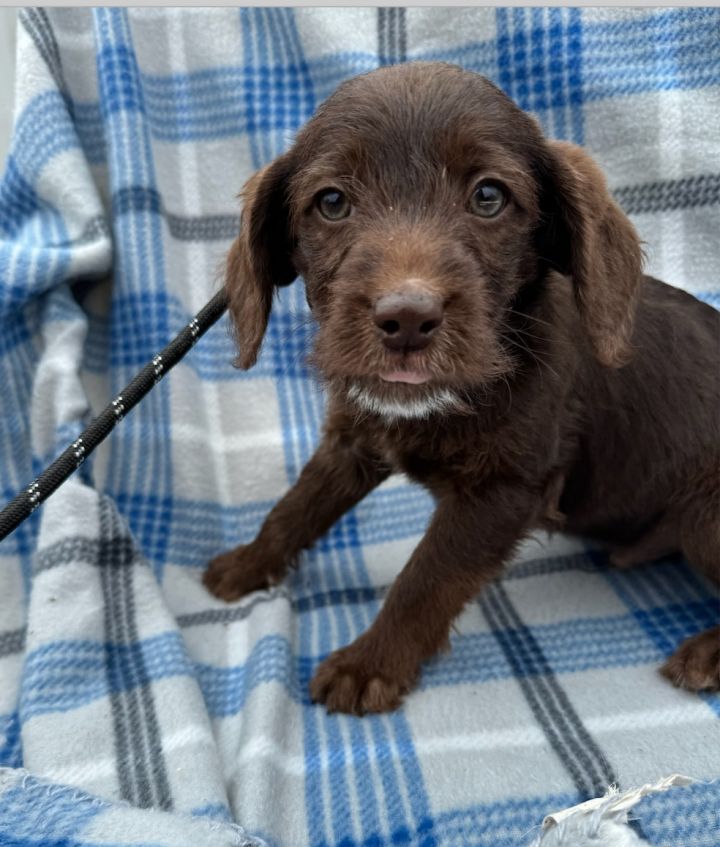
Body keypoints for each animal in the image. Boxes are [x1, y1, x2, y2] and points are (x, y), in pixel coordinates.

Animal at [202, 63, 720, 716]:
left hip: (706, 514)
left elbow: (426, 579)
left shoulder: (502, 491)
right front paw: (249, 566)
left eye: (489, 197)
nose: (406, 319)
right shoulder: (353, 440)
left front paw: (369, 665)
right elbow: (295, 508)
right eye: (332, 202)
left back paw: (709, 654)